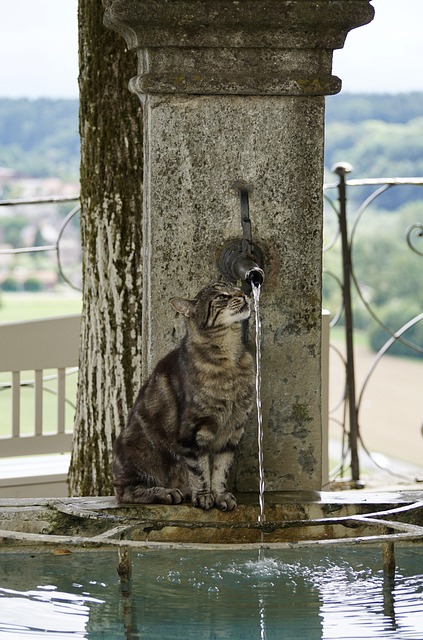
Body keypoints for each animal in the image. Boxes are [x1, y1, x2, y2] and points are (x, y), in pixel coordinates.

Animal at [112, 282, 255, 512]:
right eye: (221, 296)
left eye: (234, 287)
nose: (243, 293)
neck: (230, 358)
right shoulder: (193, 432)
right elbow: (200, 471)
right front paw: (204, 497)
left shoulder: (233, 431)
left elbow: (220, 471)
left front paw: (221, 496)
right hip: (139, 451)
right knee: (125, 492)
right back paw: (166, 493)